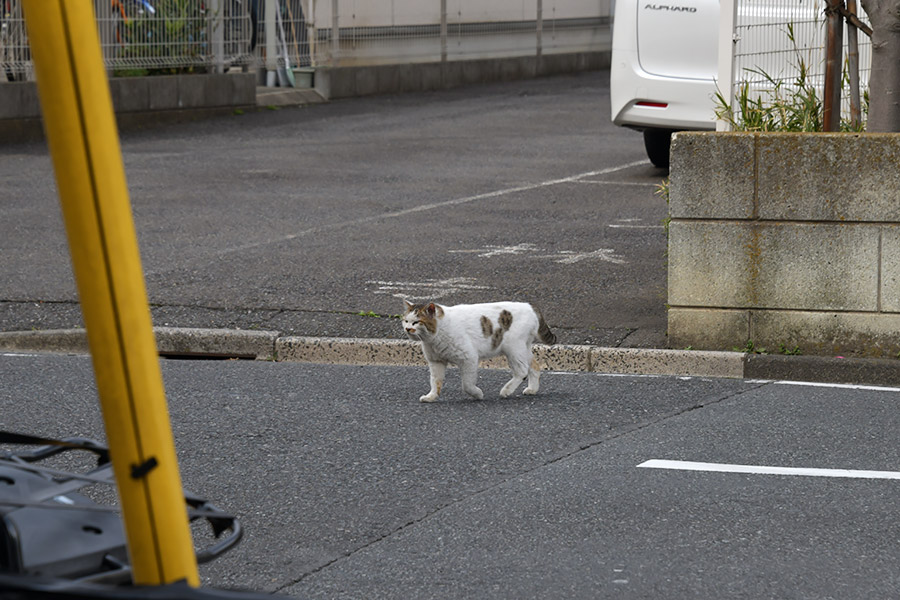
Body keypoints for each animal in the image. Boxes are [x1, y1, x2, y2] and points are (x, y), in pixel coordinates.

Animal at [400, 300, 556, 404]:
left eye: (416, 322)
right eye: (406, 320)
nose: (407, 328)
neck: (435, 336)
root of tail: (530, 306)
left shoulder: (468, 358)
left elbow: (467, 385)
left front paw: (477, 394)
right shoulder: (436, 362)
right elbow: (435, 381)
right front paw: (431, 396)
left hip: (514, 348)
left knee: (522, 371)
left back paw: (506, 390)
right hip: (523, 349)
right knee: (534, 366)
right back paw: (532, 389)